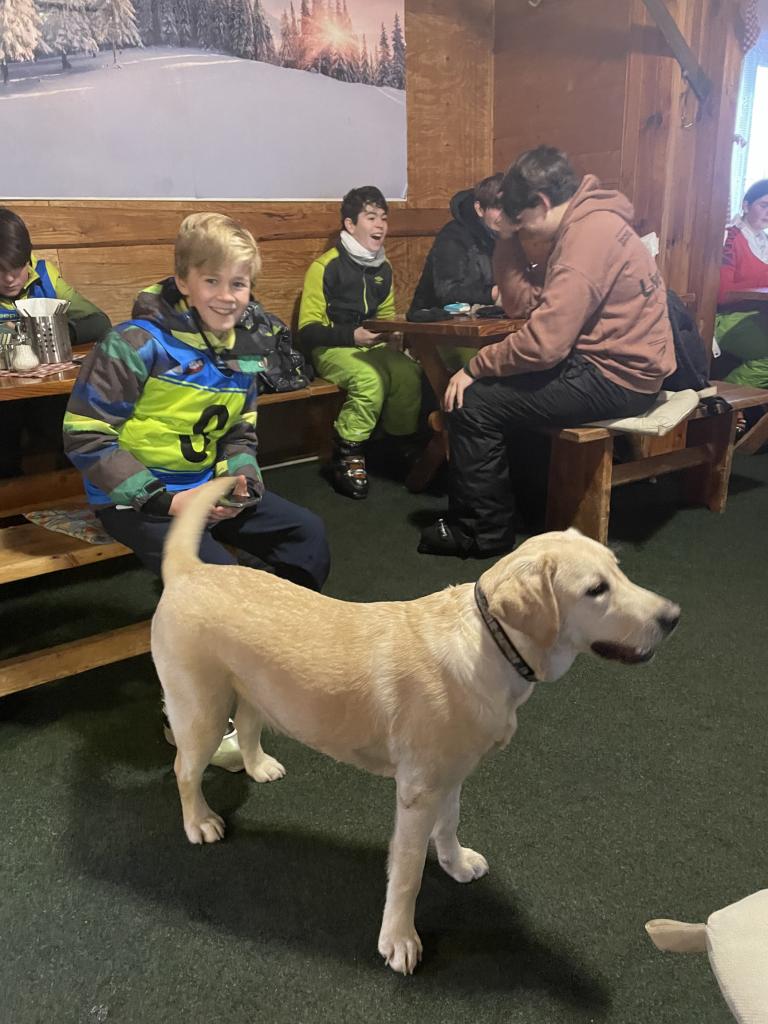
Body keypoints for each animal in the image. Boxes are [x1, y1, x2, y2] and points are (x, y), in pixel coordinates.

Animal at [152, 477, 680, 975]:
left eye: (619, 569)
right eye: (596, 590)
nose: (673, 616)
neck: (492, 644)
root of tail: (189, 570)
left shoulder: (452, 776)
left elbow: (449, 826)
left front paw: (456, 863)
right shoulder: (417, 792)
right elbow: (407, 875)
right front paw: (399, 940)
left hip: (256, 689)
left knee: (247, 725)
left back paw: (258, 765)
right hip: (200, 711)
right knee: (184, 769)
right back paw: (200, 822)